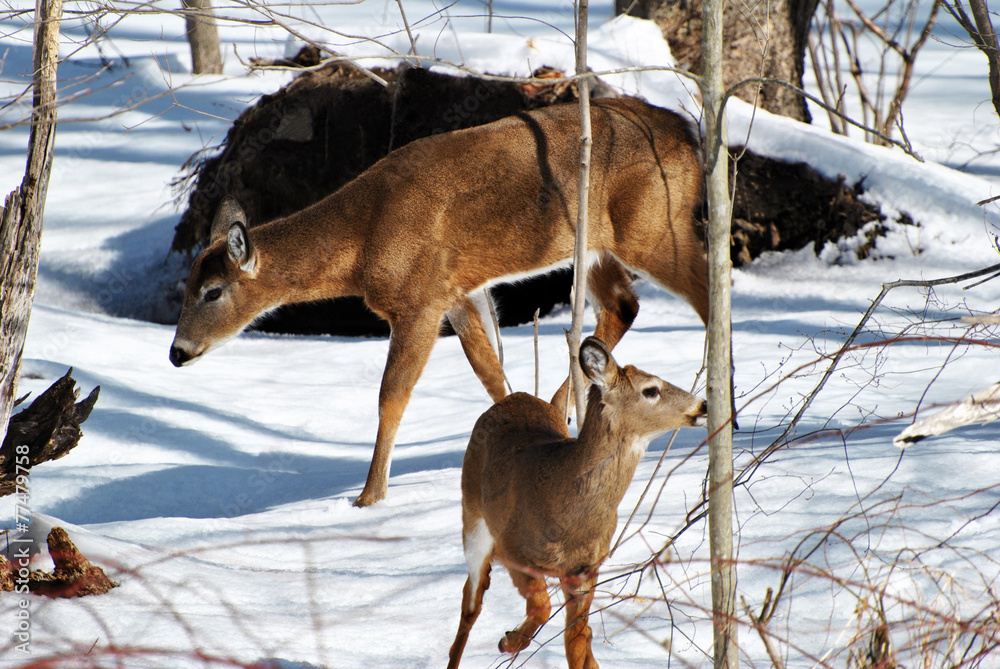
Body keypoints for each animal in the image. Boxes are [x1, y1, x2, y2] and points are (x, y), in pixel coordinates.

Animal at [168, 96, 709, 507]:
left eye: (213, 291)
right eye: (186, 286)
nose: (177, 352)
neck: (363, 240)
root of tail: (687, 130)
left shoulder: (419, 301)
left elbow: (391, 395)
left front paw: (369, 497)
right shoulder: (456, 292)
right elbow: (490, 371)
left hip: (654, 225)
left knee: (708, 291)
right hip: (596, 245)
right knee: (622, 305)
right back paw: (570, 408)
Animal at [446, 336, 707, 669]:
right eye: (651, 389)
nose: (703, 405)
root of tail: (512, 397)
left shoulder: (585, 568)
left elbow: (576, 642)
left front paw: (517, 640)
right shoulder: (512, 548)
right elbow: (543, 607)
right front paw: (509, 641)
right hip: (474, 517)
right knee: (471, 601)